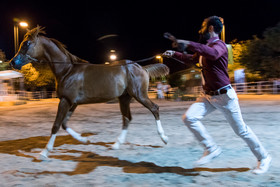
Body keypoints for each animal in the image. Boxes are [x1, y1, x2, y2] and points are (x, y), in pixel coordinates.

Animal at [9, 25, 170, 159]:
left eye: (26, 43)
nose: (12, 62)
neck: (67, 70)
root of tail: (141, 67)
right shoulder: (72, 103)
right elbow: (64, 124)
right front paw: (84, 139)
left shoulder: (65, 101)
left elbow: (56, 125)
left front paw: (44, 152)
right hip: (124, 98)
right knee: (127, 118)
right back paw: (116, 144)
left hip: (139, 95)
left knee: (154, 109)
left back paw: (164, 138)